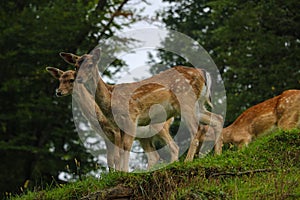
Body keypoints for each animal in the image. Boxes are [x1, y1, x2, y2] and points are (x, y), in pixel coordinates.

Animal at [45, 67, 179, 170]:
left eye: (71, 80)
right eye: (59, 80)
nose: (58, 92)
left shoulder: (116, 131)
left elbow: (116, 157)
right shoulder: (105, 136)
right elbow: (109, 159)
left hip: (159, 126)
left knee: (170, 147)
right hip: (144, 137)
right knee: (154, 156)